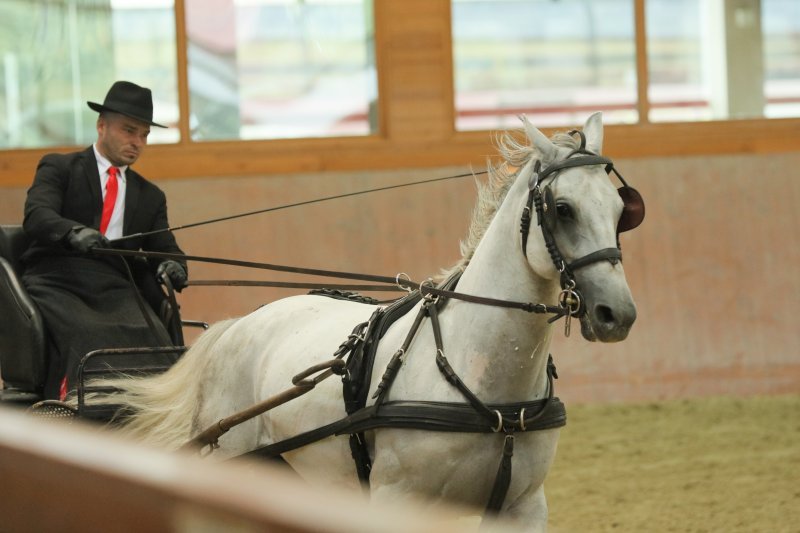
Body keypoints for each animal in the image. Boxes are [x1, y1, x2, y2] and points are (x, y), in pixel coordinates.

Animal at [94, 111, 640, 528]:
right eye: (563, 209)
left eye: (621, 210)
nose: (618, 314)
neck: (486, 386)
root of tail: (236, 327)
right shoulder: (398, 501)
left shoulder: (522, 507)